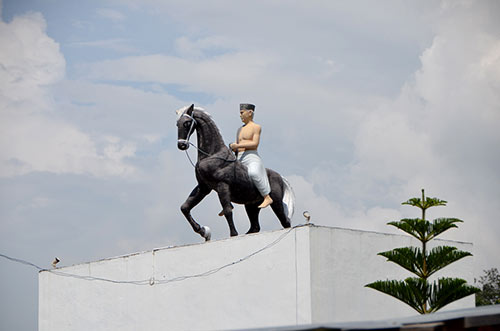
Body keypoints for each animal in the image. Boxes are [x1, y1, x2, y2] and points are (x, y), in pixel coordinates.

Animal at [177, 104, 294, 241]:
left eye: (187, 123)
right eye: (177, 124)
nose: (181, 145)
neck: (212, 155)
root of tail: (280, 177)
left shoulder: (222, 186)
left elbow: (228, 210)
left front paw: (233, 235)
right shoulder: (204, 187)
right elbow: (185, 207)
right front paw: (203, 231)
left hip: (275, 202)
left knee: (285, 222)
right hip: (251, 205)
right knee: (255, 227)